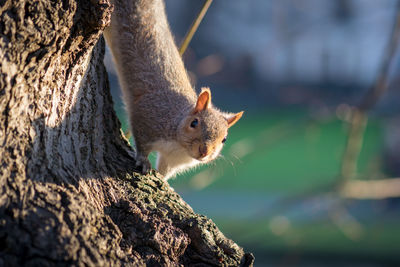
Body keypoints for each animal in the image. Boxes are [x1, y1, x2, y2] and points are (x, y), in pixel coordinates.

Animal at [103, 0, 242, 181]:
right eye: (194, 123)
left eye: (224, 139)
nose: (204, 152)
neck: (180, 147)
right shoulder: (148, 118)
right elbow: (142, 144)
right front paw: (143, 161)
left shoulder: (172, 160)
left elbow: (164, 170)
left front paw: (163, 180)